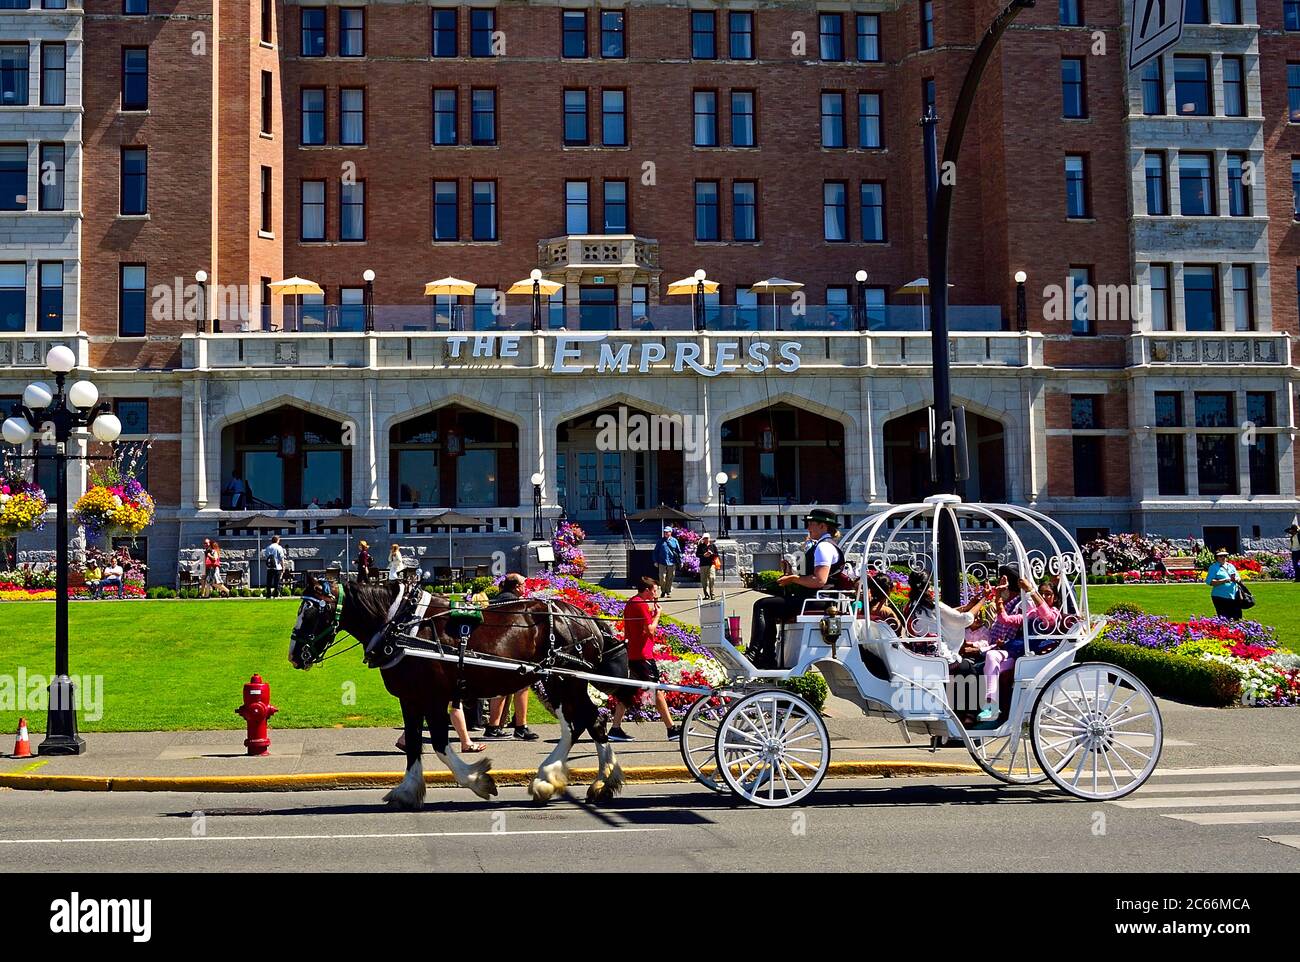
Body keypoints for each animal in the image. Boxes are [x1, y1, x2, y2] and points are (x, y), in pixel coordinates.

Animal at [286, 579, 629, 811]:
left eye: (312, 610)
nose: (294, 655)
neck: (402, 626)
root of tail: (580, 615)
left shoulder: (434, 697)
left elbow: (439, 744)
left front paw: (478, 780)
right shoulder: (410, 698)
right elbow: (414, 744)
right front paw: (408, 792)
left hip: (564, 680)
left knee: (586, 722)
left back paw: (578, 780)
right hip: (560, 681)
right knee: (583, 722)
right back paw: (576, 781)